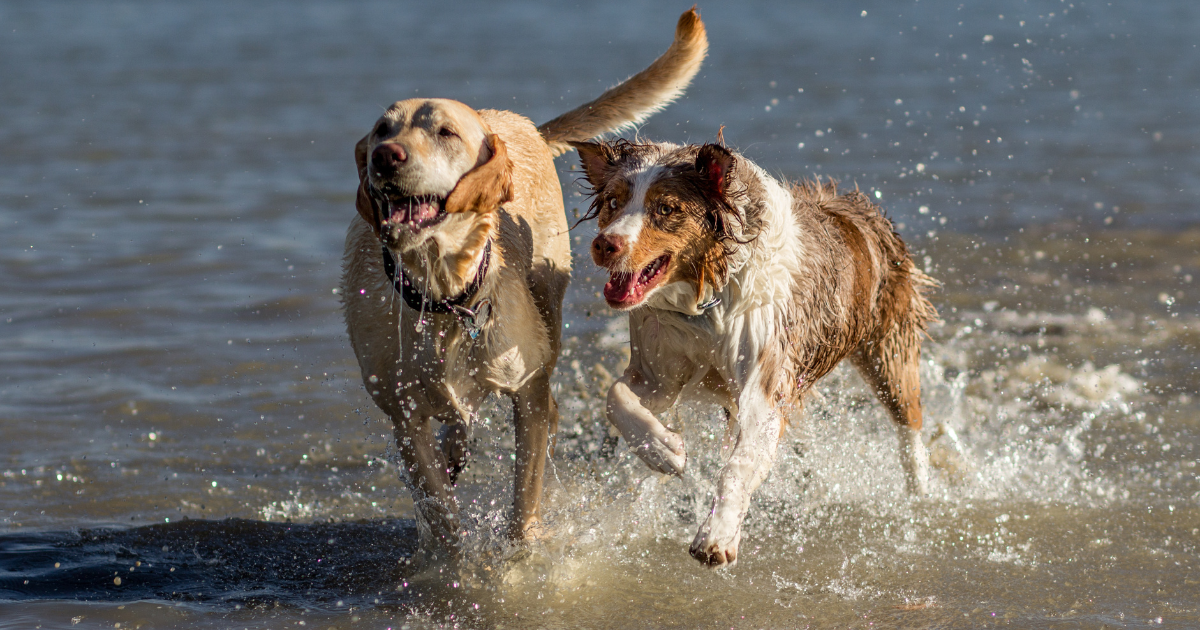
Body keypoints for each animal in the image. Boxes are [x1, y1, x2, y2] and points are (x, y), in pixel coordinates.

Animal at [343, 9, 705, 559]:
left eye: (445, 132)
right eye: (382, 128)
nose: (385, 155)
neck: (445, 297)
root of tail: (521, 125)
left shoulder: (528, 390)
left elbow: (525, 492)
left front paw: (519, 553)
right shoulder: (400, 412)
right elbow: (437, 503)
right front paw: (454, 560)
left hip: (548, 314)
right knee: (455, 423)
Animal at [571, 137, 936, 564]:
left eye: (666, 209)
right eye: (614, 201)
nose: (604, 244)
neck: (705, 300)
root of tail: (860, 206)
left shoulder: (764, 383)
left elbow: (738, 466)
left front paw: (716, 536)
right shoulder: (661, 370)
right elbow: (617, 398)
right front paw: (666, 451)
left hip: (888, 346)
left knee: (909, 421)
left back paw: (921, 492)